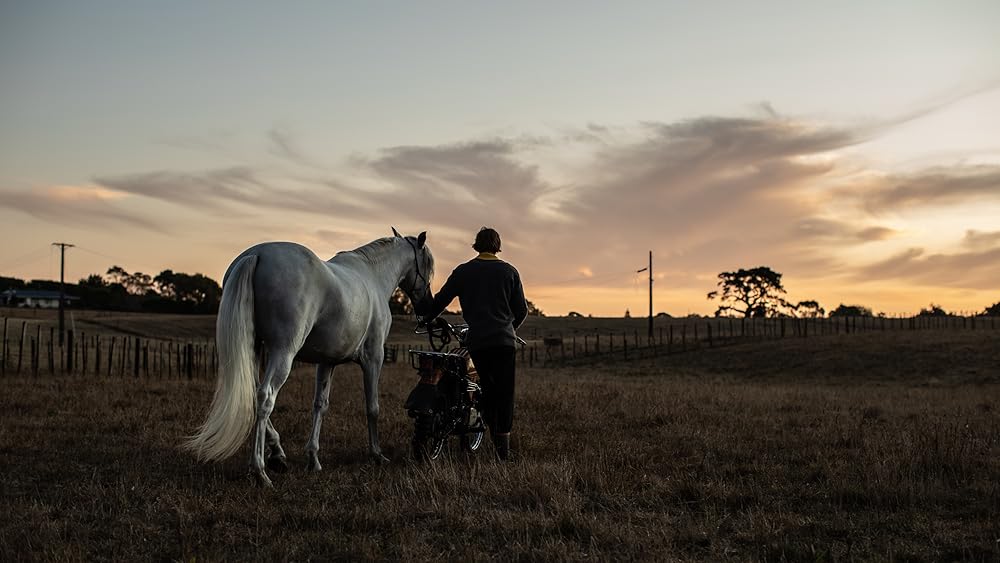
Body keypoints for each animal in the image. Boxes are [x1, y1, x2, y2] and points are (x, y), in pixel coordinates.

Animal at [185, 228, 434, 484]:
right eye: (427, 264)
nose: (427, 305)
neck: (373, 276)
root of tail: (257, 254)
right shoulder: (373, 358)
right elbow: (372, 407)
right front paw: (377, 454)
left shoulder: (326, 362)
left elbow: (320, 405)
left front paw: (313, 459)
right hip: (283, 352)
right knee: (265, 397)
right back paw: (260, 470)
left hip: (254, 350)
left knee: (254, 392)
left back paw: (277, 454)